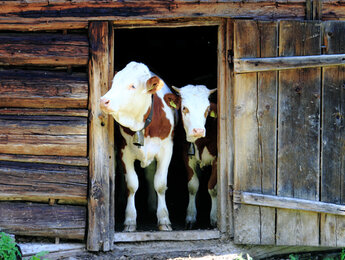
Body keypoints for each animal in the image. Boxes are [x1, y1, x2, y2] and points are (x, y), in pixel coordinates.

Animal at [99, 61, 175, 232]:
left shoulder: (166, 150)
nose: (103, 101)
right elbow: (132, 184)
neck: (141, 125)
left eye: (132, 86)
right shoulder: (124, 151)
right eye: (113, 83)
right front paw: (129, 220)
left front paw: (164, 219)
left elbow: (160, 184)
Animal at [165, 84, 218, 229]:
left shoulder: (218, 159)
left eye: (207, 109)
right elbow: (193, 186)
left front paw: (214, 217)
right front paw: (190, 217)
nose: (198, 130)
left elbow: (212, 186)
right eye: (184, 108)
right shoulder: (186, 156)